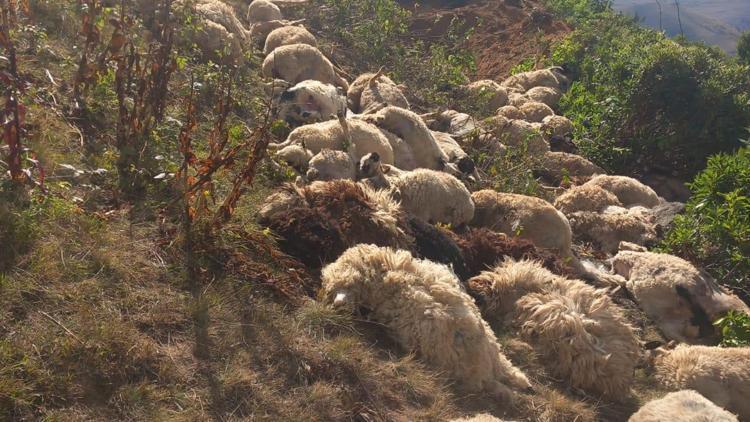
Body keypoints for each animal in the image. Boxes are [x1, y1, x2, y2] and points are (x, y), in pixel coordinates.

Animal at [324, 244, 536, 398]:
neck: (386, 273)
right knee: (508, 369)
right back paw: (524, 383)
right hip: (493, 348)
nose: (337, 305)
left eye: (345, 286)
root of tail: (487, 365)